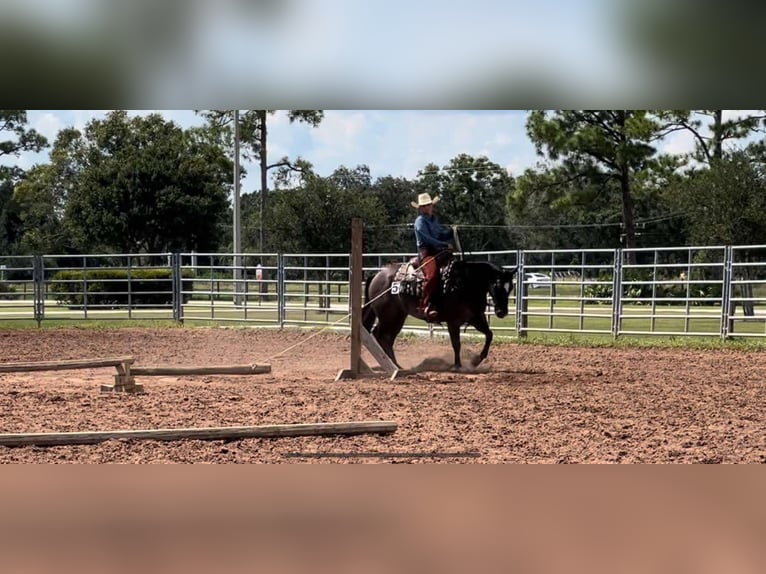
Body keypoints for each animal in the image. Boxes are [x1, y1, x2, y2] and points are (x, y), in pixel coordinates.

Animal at [364, 254, 520, 372]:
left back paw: (394, 365)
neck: (466, 282)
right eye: (498, 285)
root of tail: (378, 275)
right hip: (388, 316)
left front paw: (476, 361)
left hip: (397, 317)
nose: (502, 312)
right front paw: (457, 366)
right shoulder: (453, 322)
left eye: (511, 287)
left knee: (385, 338)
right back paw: (393, 364)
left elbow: (489, 335)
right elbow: (456, 343)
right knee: (382, 336)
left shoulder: (476, 318)